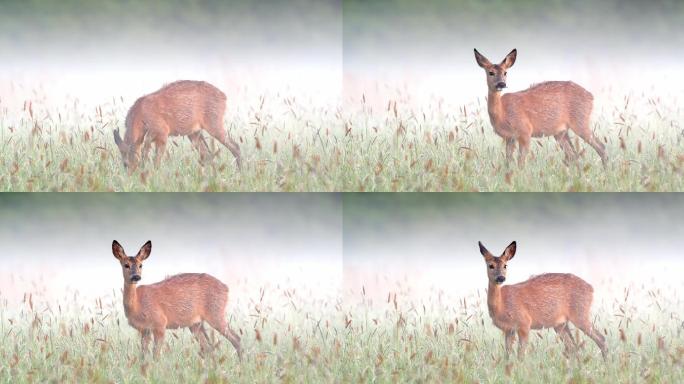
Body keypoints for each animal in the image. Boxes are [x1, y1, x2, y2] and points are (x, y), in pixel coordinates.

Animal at [111, 240, 242, 360]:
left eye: (140, 265)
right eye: (126, 265)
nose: (136, 277)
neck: (137, 304)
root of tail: (226, 288)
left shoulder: (160, 323)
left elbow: (156, 355)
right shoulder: (144, 330)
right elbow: (143, 356)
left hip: (215, 313)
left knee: (236, 338)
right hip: (196, 323)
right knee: (208, 347)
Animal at [112, 79, 240, 171]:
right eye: (124, 164)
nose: (131, 176)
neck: (140, 116)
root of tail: (224, 97)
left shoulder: (162, 132)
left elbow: (155, 159)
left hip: (214, 122)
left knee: (235, 145)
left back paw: (240, 171)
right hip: (194, 132)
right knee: (207, 154)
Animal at [472, 48, 608, 166]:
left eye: (505, 72)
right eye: (491, 72)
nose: (501, 84)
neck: (502, 113)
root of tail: (591, 96)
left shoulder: (525, 131)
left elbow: (520, 163)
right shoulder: (509, 138)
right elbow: (508, 162)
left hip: (580, 121)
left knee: (600, 146)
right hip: (561, 132)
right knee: (573, 155)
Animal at [478, 240, 608, 360]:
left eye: (505, 265)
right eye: (490, 265)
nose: (501, 278)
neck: (502, 306)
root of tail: (591, 288)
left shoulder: (524, 323)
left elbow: (520, 355)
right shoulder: (508, 330)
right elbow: (507, 355)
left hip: (580, 313)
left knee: (600, 338)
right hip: (560, 324)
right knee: (572, 346)